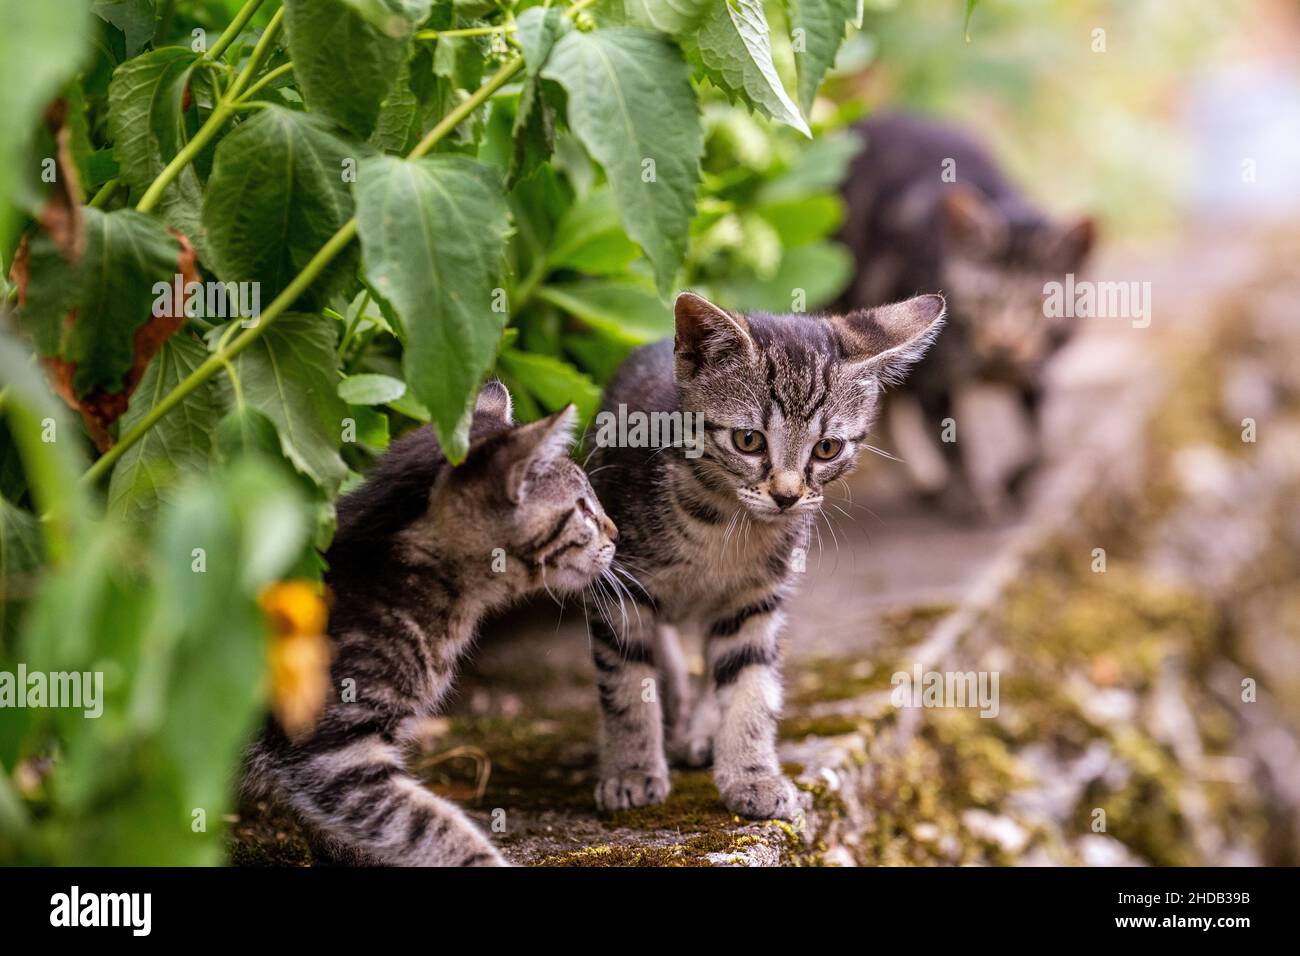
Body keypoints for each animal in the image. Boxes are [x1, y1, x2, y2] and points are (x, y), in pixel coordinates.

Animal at [585, 293, 941, 822]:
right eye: (749, 440)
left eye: (826, 448)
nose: (787, 496)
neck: (724, 524)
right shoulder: (619, 584)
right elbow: (627, 682)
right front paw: (632, 770)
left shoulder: (753, 600)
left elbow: (749, 685)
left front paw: (752, 775)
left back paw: (700, 729)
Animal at [837, 110, 1092, 515]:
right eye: (983, 299)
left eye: (1038, 306)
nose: (1004, 343)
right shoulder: (933, 377)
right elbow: (954, 444)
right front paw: (971, 497)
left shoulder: (1035, 370)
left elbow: (1041, 443)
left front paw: (1015, 480)